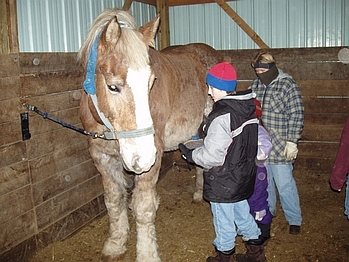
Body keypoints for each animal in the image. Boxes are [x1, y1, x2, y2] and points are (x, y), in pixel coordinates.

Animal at [77, 8, 222, 262]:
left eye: (151, 81)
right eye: (113, 86)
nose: (142, 157)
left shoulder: (153, 157)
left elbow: (144, 208)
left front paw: (147, 253)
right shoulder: (102, 157)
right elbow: (114, 201)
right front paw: (116, 243)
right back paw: (198, 193)